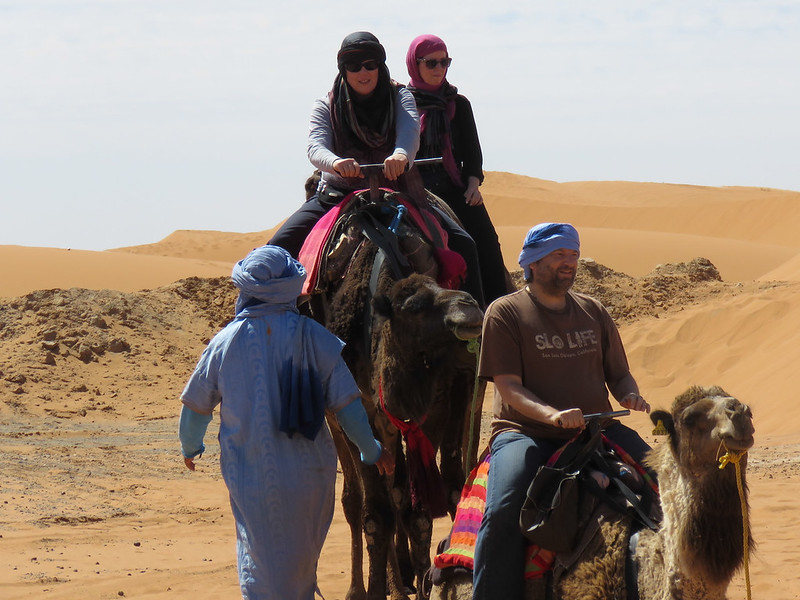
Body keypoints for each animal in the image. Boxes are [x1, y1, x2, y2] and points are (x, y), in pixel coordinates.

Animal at [308, 191, 484, 600]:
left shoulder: (432, 409)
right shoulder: (360, 408)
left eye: (441, 282)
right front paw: (376, 589)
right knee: (359, 498)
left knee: (425, 485)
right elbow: (377, 513)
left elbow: (418, 513)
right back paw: (367, 585)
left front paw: (424, 582)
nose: (469, 306)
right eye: (415, 307)